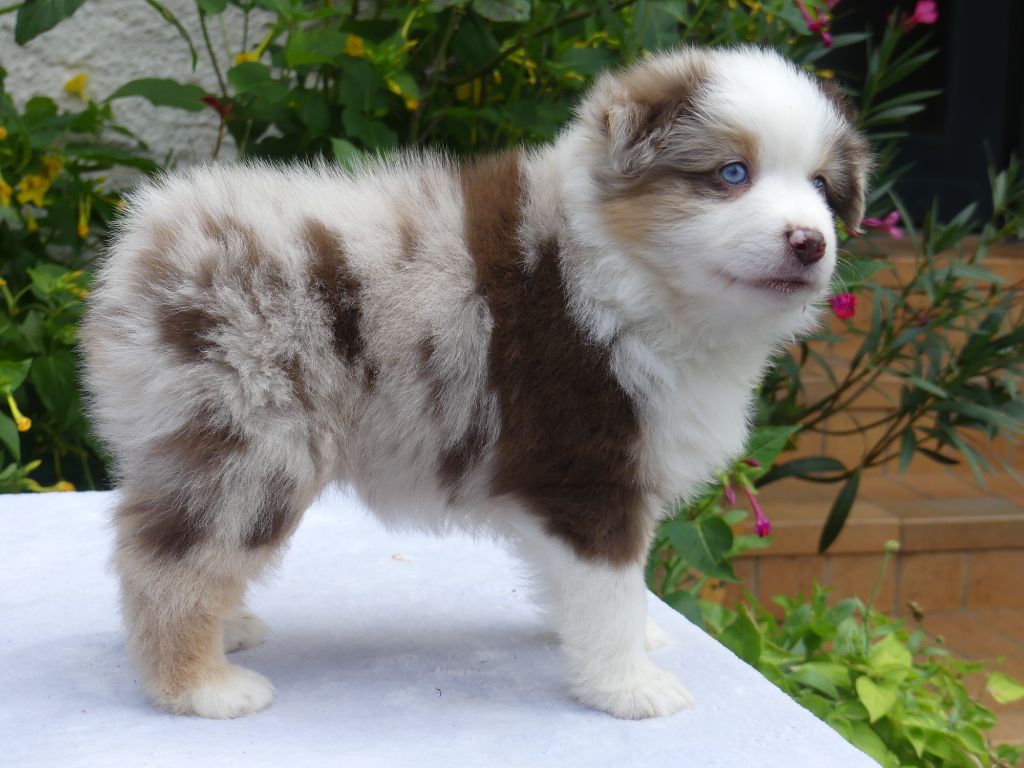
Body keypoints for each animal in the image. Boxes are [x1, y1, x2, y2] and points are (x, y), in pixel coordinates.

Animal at [82, 45, 869, 720]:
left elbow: (589, 586)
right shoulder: (589, 470)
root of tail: (148, 243)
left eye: (822, 188)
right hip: (254, 439)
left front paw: (621, 641)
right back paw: (200, 685)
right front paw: (630, 686)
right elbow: (611, 589)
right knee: (169, 560)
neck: (630, 272)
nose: (810, 242)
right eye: (732, 174)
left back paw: (229, 628)